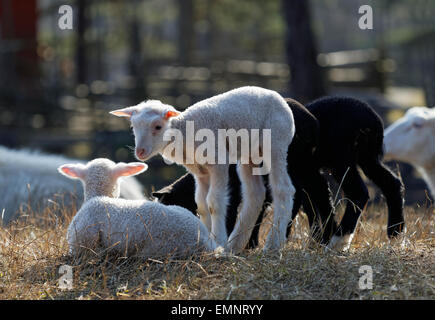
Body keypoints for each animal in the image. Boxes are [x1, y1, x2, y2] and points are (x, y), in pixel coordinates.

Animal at [110, 85, 298, 252]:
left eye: (158, 126)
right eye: (133, 127)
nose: (140, 152)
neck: (183, 133)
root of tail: (277, 96)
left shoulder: (218, 162)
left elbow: (213, 203)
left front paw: (218, 240)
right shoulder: (199, 171)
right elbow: (201, 205)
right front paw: (208, 239)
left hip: (276, 143)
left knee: (283, 189)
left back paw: (273, 244)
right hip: (248, 154)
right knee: (255, 194)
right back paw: (234, 245)